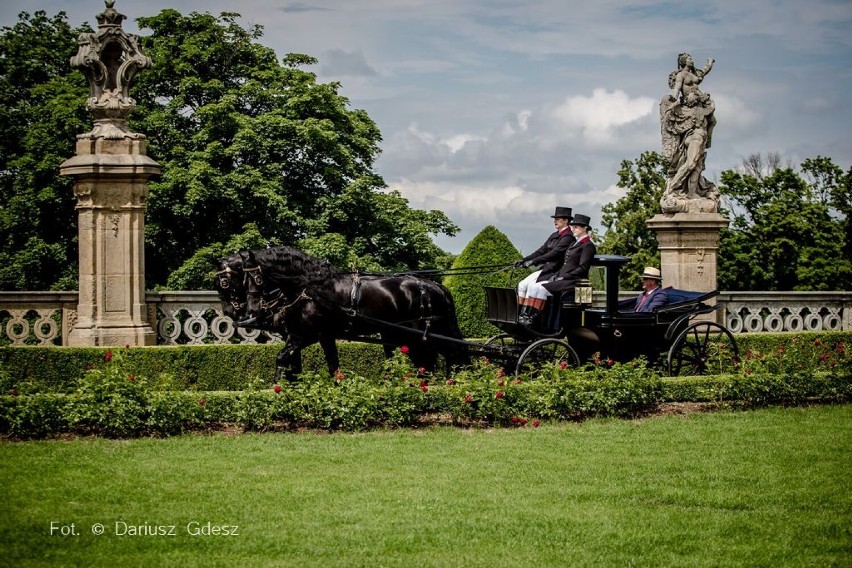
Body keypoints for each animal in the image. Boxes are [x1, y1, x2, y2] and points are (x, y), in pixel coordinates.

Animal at [213, 245, 466, 382]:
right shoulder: (309, 335)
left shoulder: (308, 336)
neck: (310, 287)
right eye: (242, 278)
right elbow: (313, 365)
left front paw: (277, 389)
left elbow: (285, 360)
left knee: (446, 356)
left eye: (255, 277)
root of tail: (435, 286)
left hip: (419, 335)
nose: (248, 309)